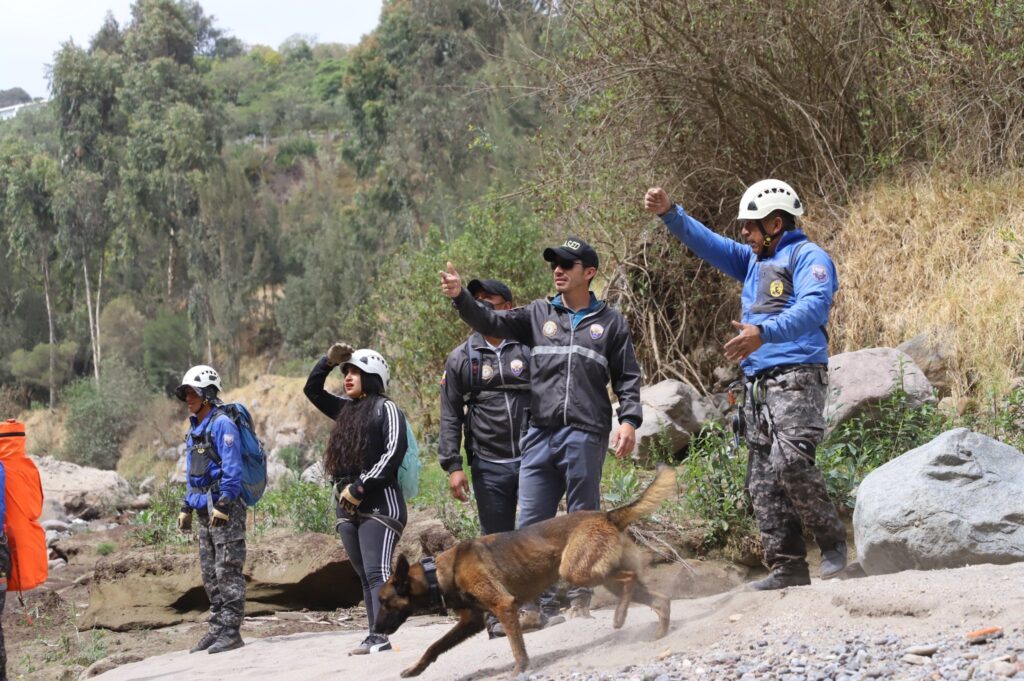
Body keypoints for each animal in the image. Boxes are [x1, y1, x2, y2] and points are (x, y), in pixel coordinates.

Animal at [372, 464, 675, 671]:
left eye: (384, 602)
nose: (376, 629)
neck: (437, 573)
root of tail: (606, 515)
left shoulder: (504, 605)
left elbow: (516, 646)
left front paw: (520, 669)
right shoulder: (470, 622)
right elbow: (434, 646)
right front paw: (415, 669)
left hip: (576, 572)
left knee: (630, 578)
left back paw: (620, 617)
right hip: (602, 575)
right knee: (657, 597)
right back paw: (658, 632)